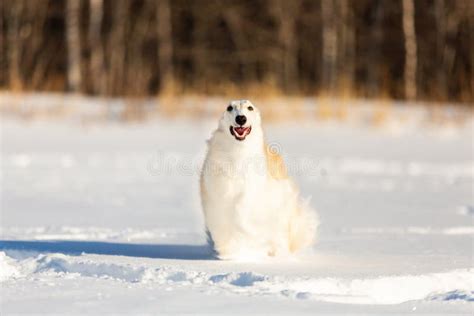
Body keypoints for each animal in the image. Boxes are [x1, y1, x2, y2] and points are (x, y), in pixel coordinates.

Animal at [200, 99, 318, 260]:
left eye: (250, 108)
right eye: (229, 108)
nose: (241, 118)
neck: (239, 152)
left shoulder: (253, 190)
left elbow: (241, 210)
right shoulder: (216, 188)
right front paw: (227, 251)